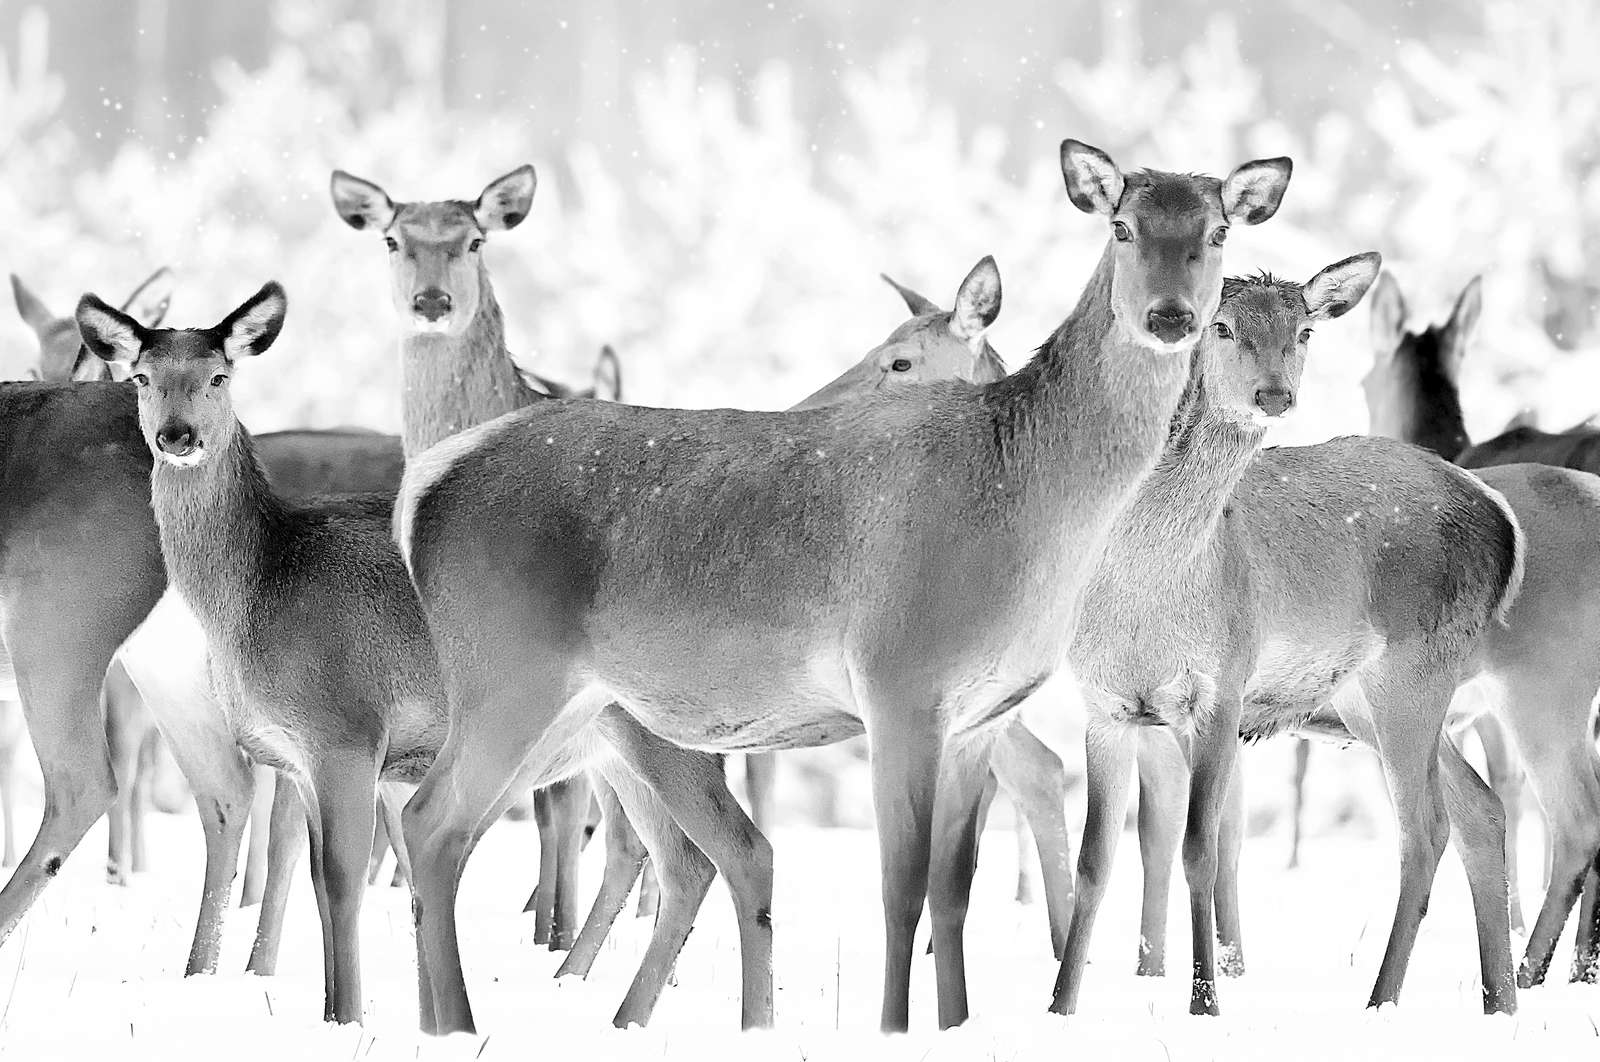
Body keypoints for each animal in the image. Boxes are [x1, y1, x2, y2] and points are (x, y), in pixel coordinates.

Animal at [390, 139, 1292, 1035]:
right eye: (1122, 226)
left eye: (1217, 231)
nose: (1170, 316)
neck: (1030, 505)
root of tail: (425, 484)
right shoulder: (900, 680)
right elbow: (900, 887)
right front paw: (893, 1028)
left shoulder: (978, 712)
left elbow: (953, 890)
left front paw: (956, 1026)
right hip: (509, 672)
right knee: (433, 824)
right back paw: (459, 1027)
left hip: (578, 707)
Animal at [1045, 255, 1526, 1020]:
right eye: (1221, 325)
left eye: (1303, 330)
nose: (1274, 393)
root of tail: (1504, 522)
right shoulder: (1105, 706)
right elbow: (1094, 863)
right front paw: (1060, 1007)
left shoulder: (1222, 688)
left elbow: (1202, 851)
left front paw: (1205, 1005)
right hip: (1366, 700)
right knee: (1481, 810)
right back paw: (1499, 1003)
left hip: (1416, 671)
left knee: (1426, 829)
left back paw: (1380, 1002)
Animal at [1363, 271, 1600, 985]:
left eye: (1363, 378)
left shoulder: (1478, 706)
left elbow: (1501, 799)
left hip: (1543, 687)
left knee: (1576, 818)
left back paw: (1536, 968)